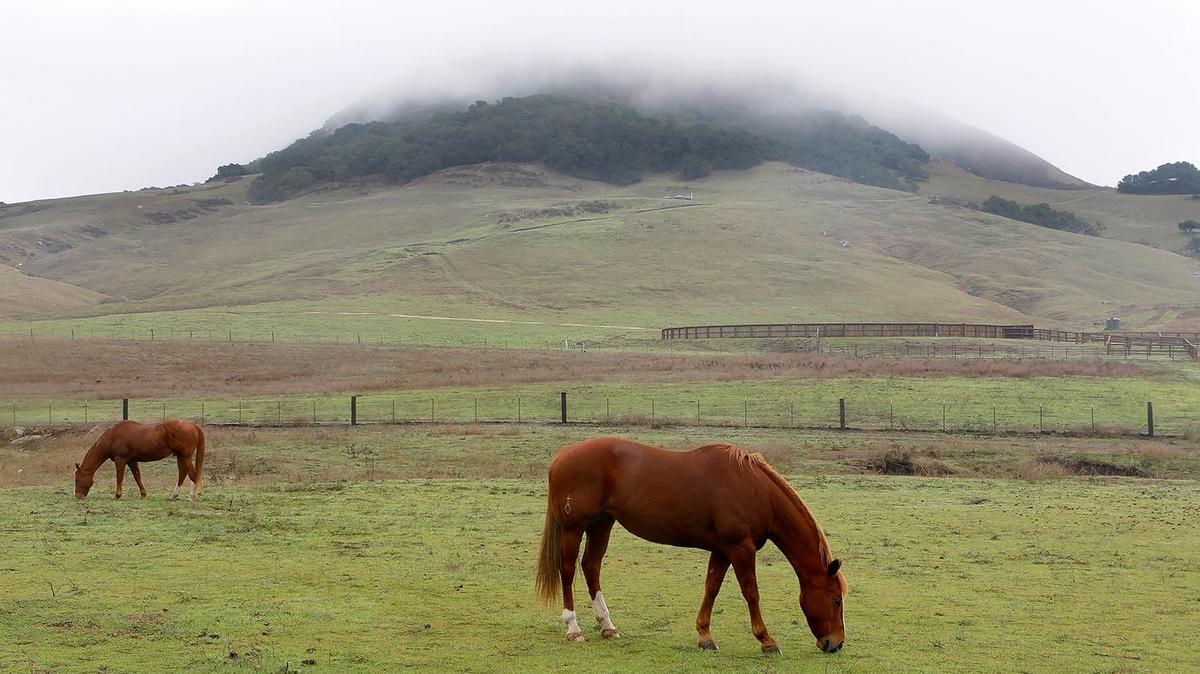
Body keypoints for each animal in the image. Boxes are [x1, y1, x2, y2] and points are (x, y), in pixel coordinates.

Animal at [73, 419, 206, 500]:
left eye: (76, 479)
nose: (77, 495)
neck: (112, 436)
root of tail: (192, 424)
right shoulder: (131, 461)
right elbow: (137, 476)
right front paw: (143, 494)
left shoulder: (120, 460)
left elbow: (119, 477)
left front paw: (117, 495)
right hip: (180, 456)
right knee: (183, 473)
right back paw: (174, 495)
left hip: (185, 456)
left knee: (192, 474)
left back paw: (191, 496)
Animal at [534, 436, 847, 655]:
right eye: (836, 599)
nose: (836, 643)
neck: (754, 490)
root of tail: (562, 455)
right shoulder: (740, 549)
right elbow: (751, 593)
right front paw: (766, 640)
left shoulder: (723, 550)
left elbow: (711, 589)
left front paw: (705, 635)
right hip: (573, 529)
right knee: (568, 571)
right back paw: (573, 628)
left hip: (602, 524)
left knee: (591, 566)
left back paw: (607, 626)